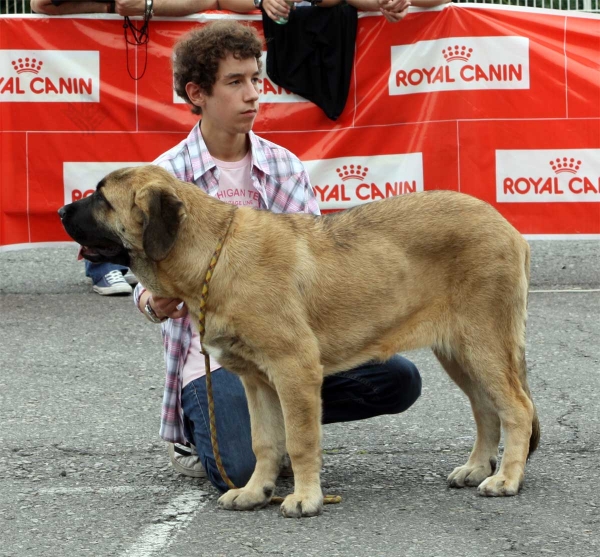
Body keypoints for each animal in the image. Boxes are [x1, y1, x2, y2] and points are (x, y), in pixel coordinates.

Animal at [59, 165, 540, 516]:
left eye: (101, 198)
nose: (62, 212)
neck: (213, 252)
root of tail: (508, 227)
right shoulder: (257, 381)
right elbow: (264, 442)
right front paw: (256, 491)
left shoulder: (294, 369)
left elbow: (300, 439)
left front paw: (306, 497)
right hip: (459, 352)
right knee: (486, 409)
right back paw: (476, 467)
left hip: (484, 341)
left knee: (517, 408)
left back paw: (506, 479)